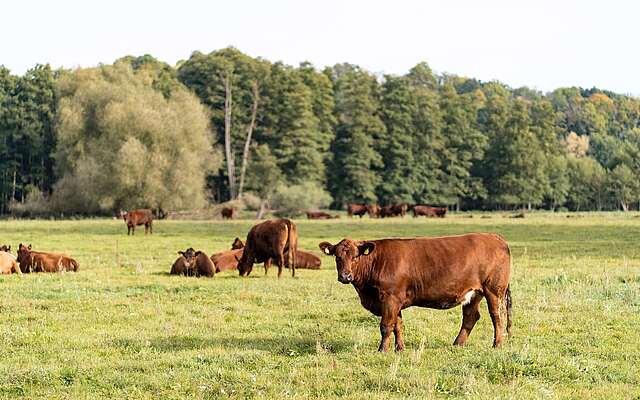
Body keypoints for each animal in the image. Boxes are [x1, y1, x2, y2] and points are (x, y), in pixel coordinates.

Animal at [319, 233, 512, 352]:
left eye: (355, 256)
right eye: (337, 257)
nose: (345, 276)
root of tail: (495, 238)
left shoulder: (390, 297)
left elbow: (386, 326)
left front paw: (382, 350)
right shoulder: (394, 301)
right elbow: (398, 325)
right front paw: (399, 348)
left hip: (494, 290)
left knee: (497, 315)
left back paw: (497, 344)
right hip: (473, 293)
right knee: (471, 316)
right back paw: (457, 344)